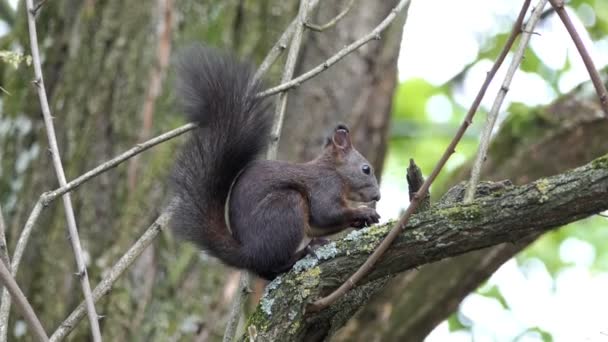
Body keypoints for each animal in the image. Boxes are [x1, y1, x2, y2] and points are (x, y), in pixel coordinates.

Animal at [170, 46, 380, 280]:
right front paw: (363, 211)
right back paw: (302, 253)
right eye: (366, 169)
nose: (377, 196)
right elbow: (326, 213)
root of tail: (249, 254)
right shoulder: (324, 186)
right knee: (276, 263)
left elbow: (319, 223)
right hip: (287, 206)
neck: (334, 171)